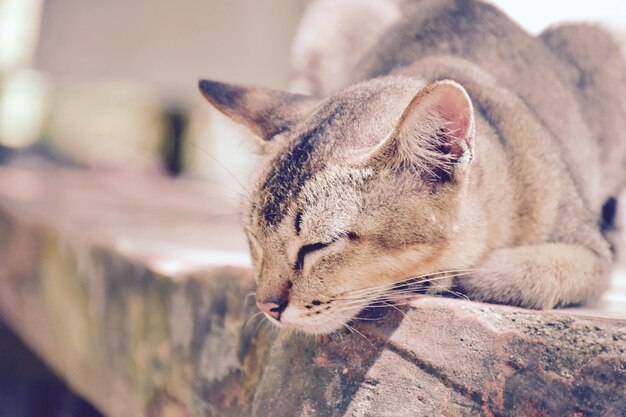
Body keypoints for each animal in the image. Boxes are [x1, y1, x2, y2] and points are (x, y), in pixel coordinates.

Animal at [201, 0, 624, 334]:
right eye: (254, 240)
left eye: (320, 245)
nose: (266, 306)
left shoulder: (589, 253)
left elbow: (534, 273)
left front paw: (454, 275)